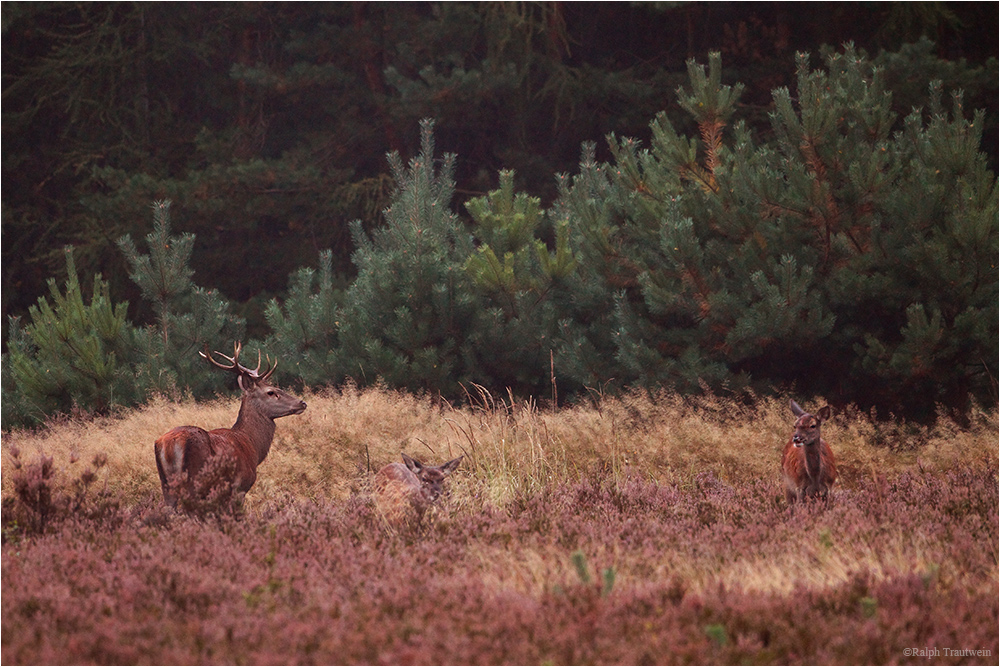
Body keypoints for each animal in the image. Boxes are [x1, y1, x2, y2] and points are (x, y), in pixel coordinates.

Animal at [152, 342, 304, 508]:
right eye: (271, 392)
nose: (302, 402)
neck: (252, 445)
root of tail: (169, 445)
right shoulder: (240, 486)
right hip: (195, 481)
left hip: (166, 485)